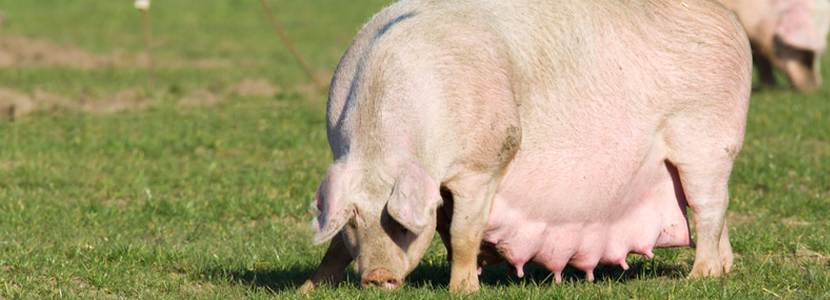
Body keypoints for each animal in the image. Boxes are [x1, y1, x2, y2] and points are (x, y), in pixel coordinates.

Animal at [300, 0, 752, 292]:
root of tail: (729, 19)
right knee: (716, 213)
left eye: (399, 223)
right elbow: (335, 249)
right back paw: (726, 270)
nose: (377, 278)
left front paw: (463, 290)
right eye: (354, 220)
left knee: (710, 209)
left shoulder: (486, 160)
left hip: (708, 144)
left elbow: (464, 231)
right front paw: (308, 288)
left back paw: (701, 276)